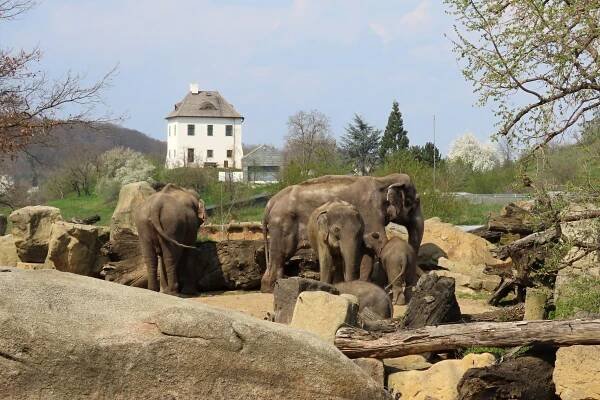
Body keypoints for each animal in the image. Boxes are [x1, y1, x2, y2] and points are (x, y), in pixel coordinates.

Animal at [260, 173, 424, 292]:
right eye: (414, 202)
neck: (382, 180)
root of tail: (270, 203)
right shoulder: (370, 212)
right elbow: (379, 243)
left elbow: (368, 249)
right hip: (282, 227)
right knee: (281, 254)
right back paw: (271, 287)